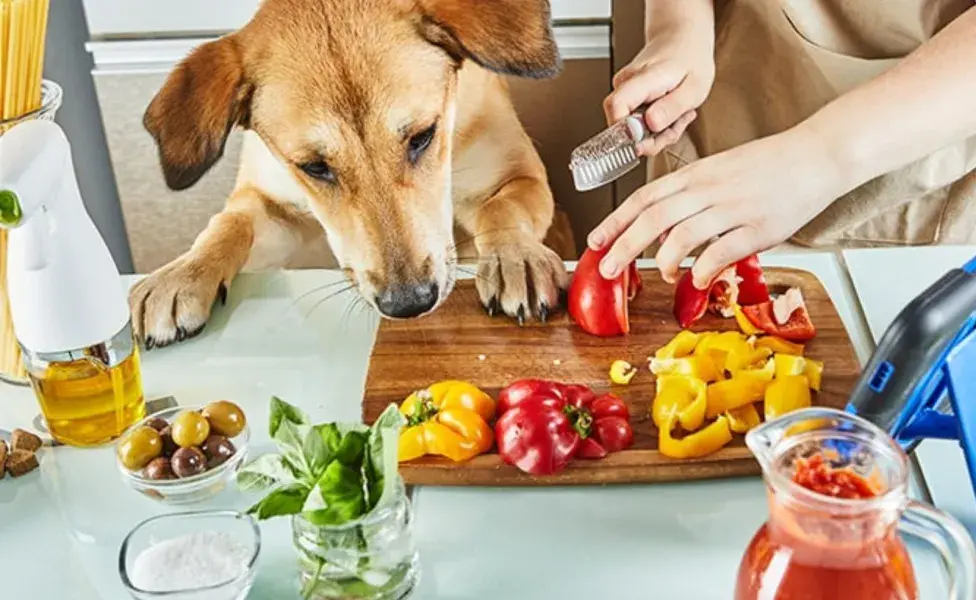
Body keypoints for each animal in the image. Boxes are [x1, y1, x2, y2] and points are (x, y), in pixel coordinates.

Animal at [129, 0, 572, 346]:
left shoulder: (519, 178)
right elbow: (227, 226)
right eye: (314, 167)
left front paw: (514, 256)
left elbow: (503, 212)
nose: (409, 303)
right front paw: (184, 272)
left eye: (423, 136)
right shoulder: (269, 205)